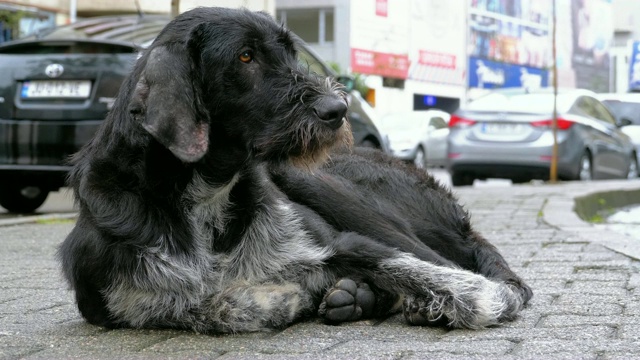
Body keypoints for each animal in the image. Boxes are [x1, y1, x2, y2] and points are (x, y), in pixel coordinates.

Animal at [60, 7, 532, 334]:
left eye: (289, 53)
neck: (205, 199)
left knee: (471, 267)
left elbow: (413, 267)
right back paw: (356, 296)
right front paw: (279, 296)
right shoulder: (113, 298)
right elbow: (204, 302)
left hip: (323, 186)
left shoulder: (343, 241)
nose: (338, 109)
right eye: (245, 57)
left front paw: (482, 299)